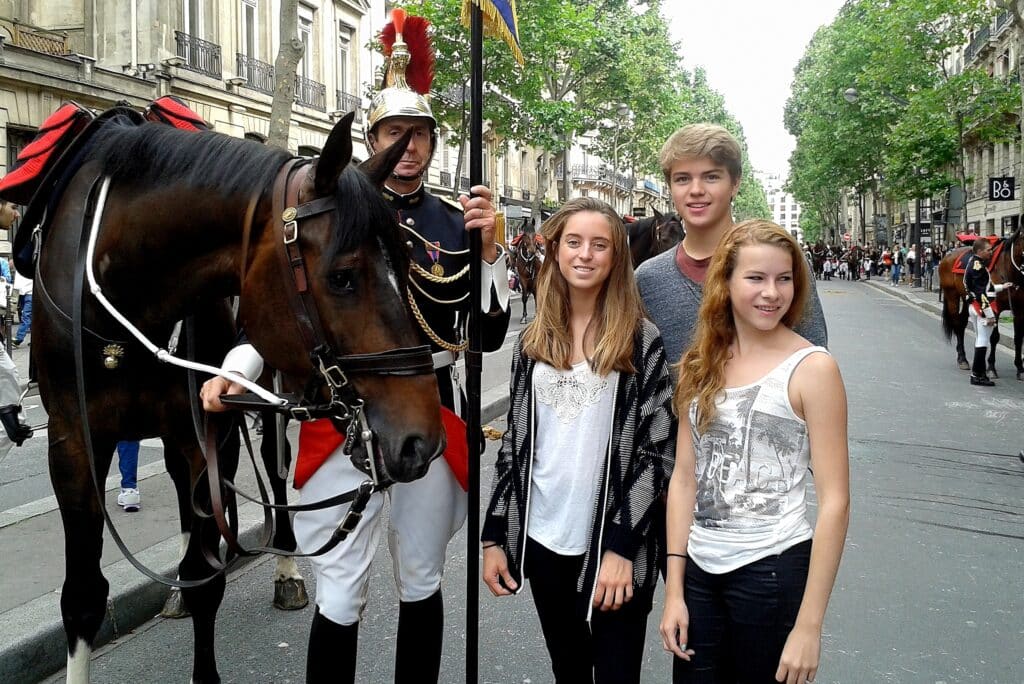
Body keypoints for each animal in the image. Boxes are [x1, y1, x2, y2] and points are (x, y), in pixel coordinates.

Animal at [34, 109, 442, 679]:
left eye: (405, 266)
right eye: (341, 277)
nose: (421, 439)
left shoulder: (209, 432)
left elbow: (208, 579)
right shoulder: (72, 444)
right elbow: (83, 599)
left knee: (273, 467)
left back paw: (287, 569)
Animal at [937, 228, 1024, 378]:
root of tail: (948, 255)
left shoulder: (1019, 309)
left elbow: (1018, 338)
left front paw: (1020, 368)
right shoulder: (995, 307)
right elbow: (994, 337)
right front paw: (991, 367)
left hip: (967, 299)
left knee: (962, 323)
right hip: (952, 296)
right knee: (956, 323)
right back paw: (962, 359)